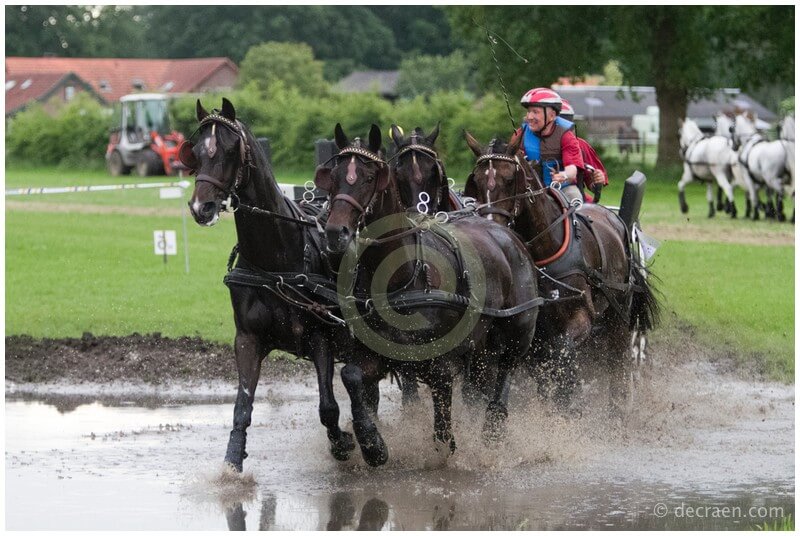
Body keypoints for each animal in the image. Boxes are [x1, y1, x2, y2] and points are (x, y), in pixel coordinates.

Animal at [183, 98, 359, 471]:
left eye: (231, 149)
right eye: (196, 151)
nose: (201, 207)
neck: (274, 261)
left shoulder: (321, 337)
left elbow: (328, 406)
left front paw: (343, 444)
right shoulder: (248, 339)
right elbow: (242, 406)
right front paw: (232, 463)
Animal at [316, 123, 541, 456]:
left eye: (370, 178)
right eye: (334, 176)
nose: (334, 232)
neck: (403, 274)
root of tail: (506, 232)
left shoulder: (440, 360)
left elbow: (443, 411)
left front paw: (445, 446)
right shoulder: (378, 353)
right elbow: (352, 376)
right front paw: (371, 443)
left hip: (518, 329)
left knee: (505, 370)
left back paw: (493, 428)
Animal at [463, 130, 660, 414]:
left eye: (510, 179)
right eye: (476, 181)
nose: (489, 227)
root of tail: (616, 220)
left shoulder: (581, 318)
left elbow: (562, 354)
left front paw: (570, 399)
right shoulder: (532, 333)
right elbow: (542, 371)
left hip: (618, 314)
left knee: (618, 361)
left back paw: (617, 408)